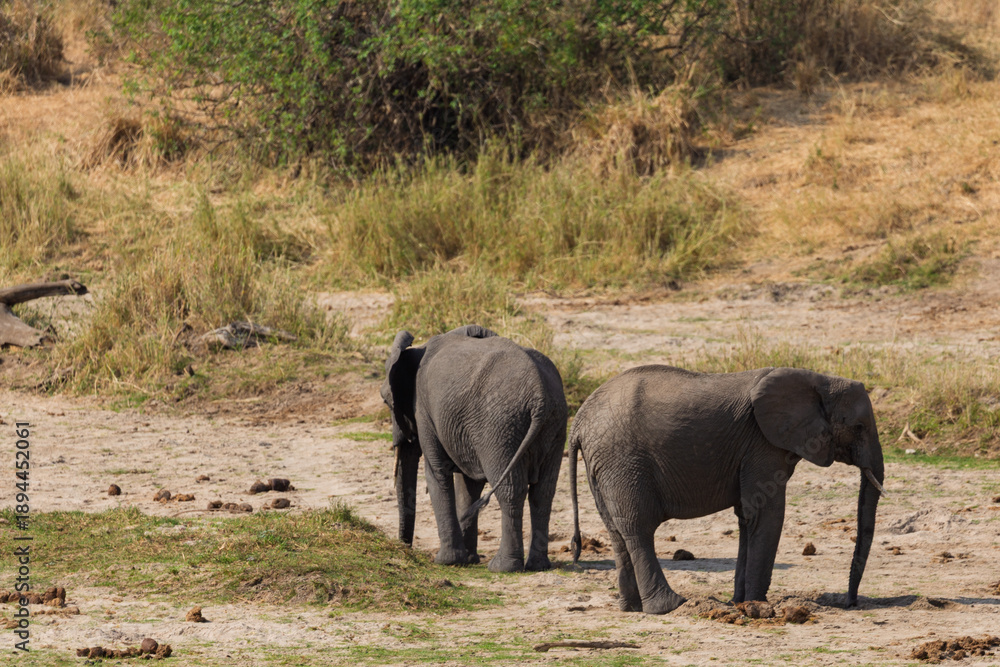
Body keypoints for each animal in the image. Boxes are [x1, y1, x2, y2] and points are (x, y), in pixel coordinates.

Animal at [381, 324, 568, 572]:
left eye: (386, 401)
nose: (404, 547)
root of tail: (540, 397)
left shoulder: (424, 410)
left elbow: (437, 473)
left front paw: (447, 561)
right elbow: (469, 485)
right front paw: (468, 559)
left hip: (500, 428)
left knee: (510, 490)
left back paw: (503, 567)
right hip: (554, 426)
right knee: (543, 492)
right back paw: (538, 565)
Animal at [568, 365, 886, 614]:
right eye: (859, 427)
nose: (851, 602)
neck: (820, 380)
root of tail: (579, 421)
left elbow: (747, 516)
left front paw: (740, 603)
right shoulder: (763, 443)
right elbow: (766, 513)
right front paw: (758, 605)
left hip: (603, 466)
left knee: (616, 530)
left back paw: (630, 608)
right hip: (622, 460)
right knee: (638, 528)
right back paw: (669, 606)